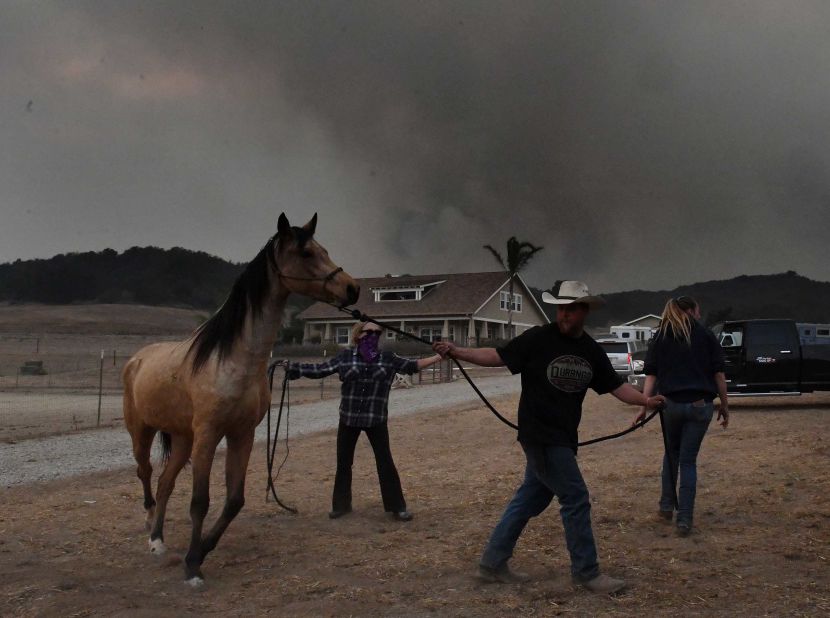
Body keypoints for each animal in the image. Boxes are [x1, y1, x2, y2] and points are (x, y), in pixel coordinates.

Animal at [122, 212, 358, 584]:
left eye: (324, 249)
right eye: (306, 253)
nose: (351, 288)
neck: (232, 360)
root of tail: (137, 359)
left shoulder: (241, 434)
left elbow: (234, 500)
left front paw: (202, 550)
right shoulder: (208, 435)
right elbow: (200, 501)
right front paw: (192, 566)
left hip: (182, 438)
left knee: (164, 483)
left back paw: (160, 538)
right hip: (141, 432)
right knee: (145, 474)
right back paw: (153, 538)